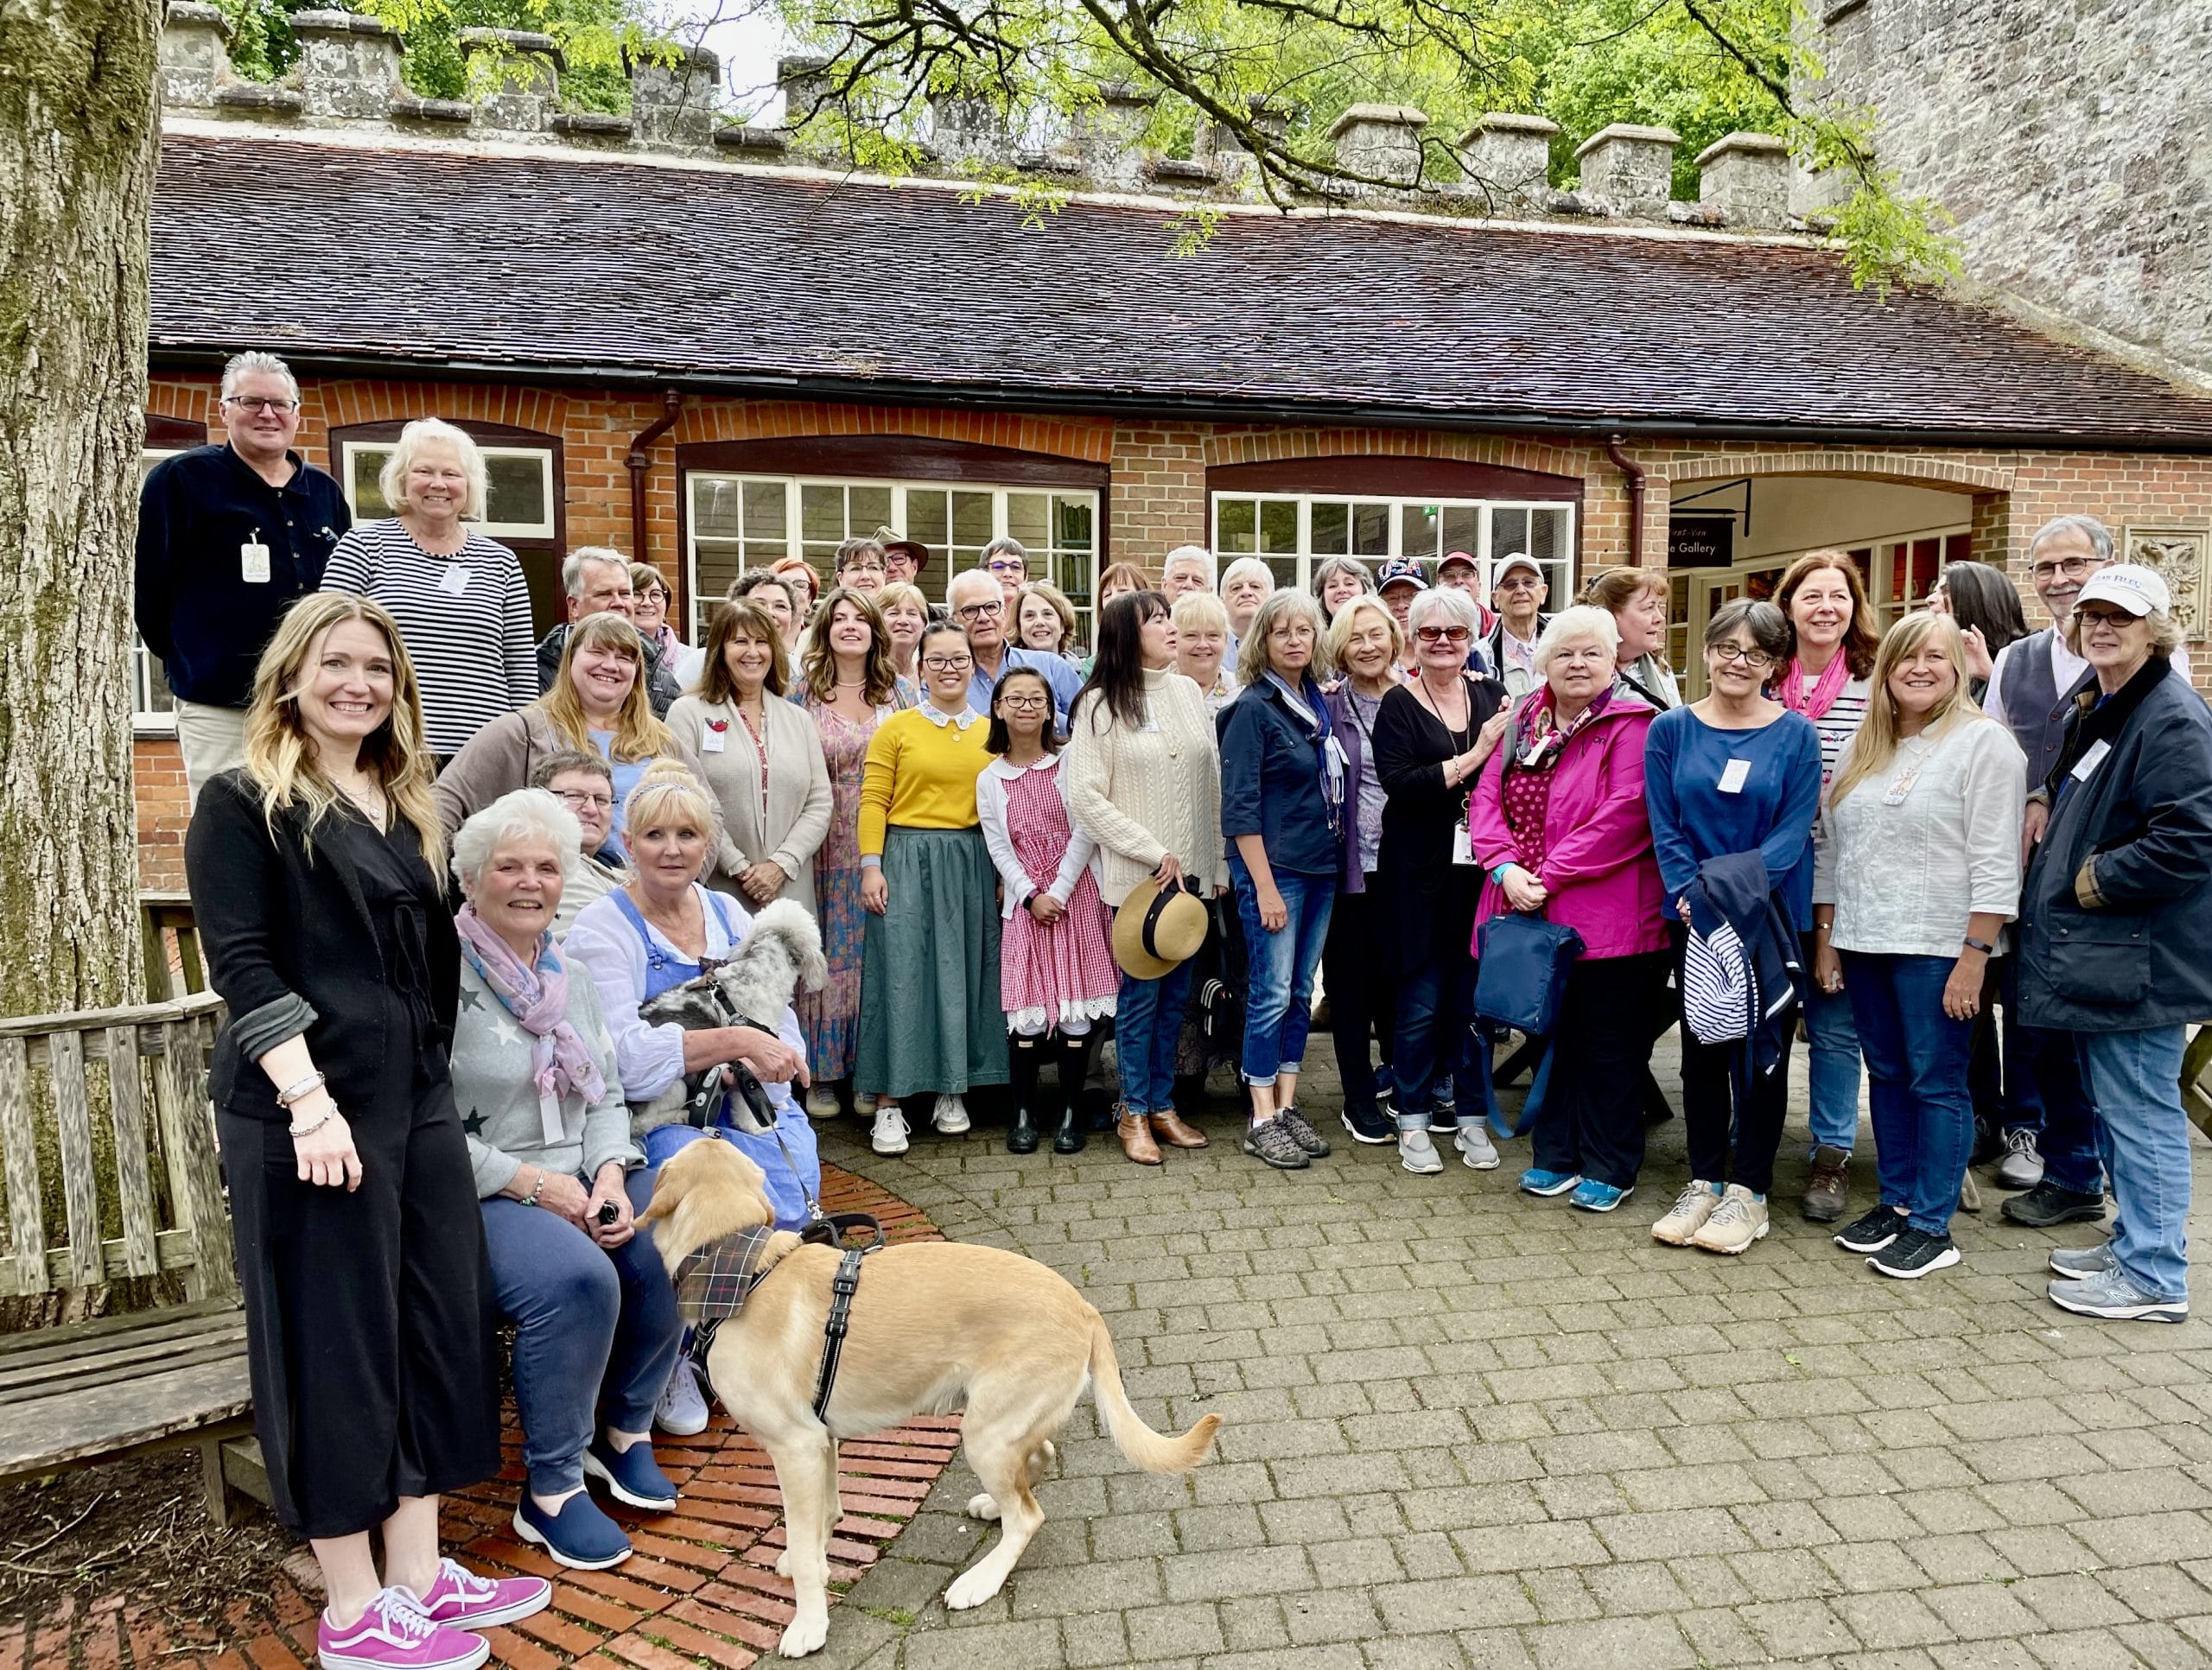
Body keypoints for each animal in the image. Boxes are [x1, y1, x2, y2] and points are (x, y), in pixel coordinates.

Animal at [634, 897, 827, 1135]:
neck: (760, 971)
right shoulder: (749, 1062)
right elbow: (746, 1102)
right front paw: (759, 1126)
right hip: (674, 1086)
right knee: (641, 1122)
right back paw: (682, 1115)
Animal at [638, 1139, 1221, 1658]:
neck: (740, 1268)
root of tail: (1083, 1307)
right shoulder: (821, 1443)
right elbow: (825, 1515)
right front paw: (819, 1558)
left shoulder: (795, 1447)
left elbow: (804, 1548)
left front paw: (809, 1623)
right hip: (999, 1424)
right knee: (1039, 1461)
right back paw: (992, 1507)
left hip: (984, 1434)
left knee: (1028, 1517)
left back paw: (980, 1580)